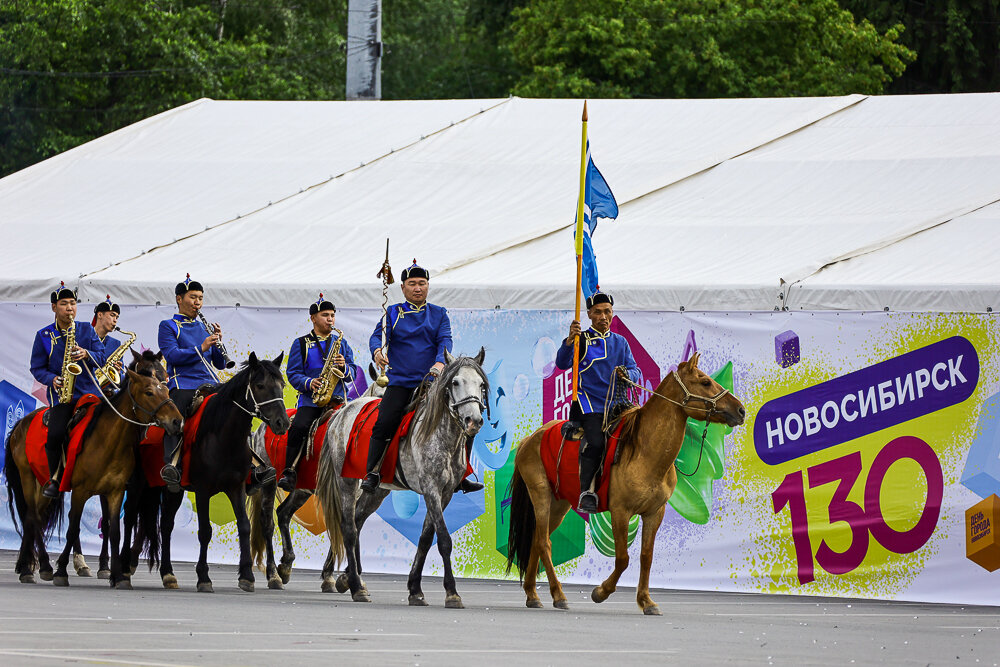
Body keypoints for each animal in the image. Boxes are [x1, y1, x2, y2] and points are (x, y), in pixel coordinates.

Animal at [5, 350, 184, 588]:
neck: (109, 440)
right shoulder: (81, 491)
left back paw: (27, 568)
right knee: (33, 516)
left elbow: (114, 530)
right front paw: (62, 571)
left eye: (165, 382)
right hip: (27, 478)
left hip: (42, 483)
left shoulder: (116, 492)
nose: (177, 421)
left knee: (32, 518)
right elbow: (73, 528)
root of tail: (20, 423)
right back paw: (43, 566)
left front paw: (118, 575)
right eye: (148, 391)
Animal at [136, 352, 290, 592]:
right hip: (163, 488)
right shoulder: (202, 490)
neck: (224, 437)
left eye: (281, 385)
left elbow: (244, 526)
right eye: (260, 385)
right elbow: (205, 531)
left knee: (167, 524)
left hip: (176, 491)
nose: (282, 422)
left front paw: (247, 575)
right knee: (164, 525)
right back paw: (161, 572)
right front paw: (203, 577)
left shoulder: (237, 488)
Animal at [248, 366, 384, 588]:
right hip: (270, 482)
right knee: (267, 521)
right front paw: (344, 575)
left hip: (302, 489)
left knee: (283, 513)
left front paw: (338, 575)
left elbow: (354, 524)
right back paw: (273, 574)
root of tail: (262, 427)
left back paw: (286, 564)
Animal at [316, 350, 488, 612]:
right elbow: (444, 540)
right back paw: (356, 586)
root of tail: (341, 412)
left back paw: (348, 578)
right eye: (456, 382)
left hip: (376, 491)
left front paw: (415, 589)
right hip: (346, 482)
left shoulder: (445, 493)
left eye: (481, 385)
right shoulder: (431, 489)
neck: (439, 433)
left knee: (357, 521)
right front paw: (452, 593)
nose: (473, 420)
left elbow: (426, 539)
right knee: (348, 528)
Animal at [504, 352, 748, 620]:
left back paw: (532, 595)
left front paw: (647, 601)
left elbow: (646, 557)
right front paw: (600, 592)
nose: (741, 410)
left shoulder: (654, 513)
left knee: (538, 540)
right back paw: (559, 595)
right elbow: (622, 558)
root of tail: (530, 438)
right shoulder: (621, 512)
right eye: (705, 382)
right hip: (541, 495)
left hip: (559, 504)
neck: (645, 451)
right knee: (544, 543)